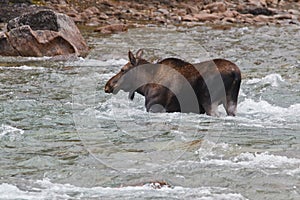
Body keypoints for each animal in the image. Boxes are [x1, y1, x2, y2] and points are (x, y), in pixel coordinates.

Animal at [104, 49, 240, 116]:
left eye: (123, 69)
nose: (107, 85)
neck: (144, 87)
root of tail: (236, 73)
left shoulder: (154, 107)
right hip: (231, 101)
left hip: (209, 101)